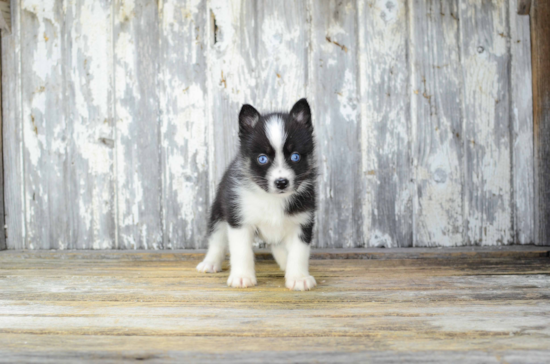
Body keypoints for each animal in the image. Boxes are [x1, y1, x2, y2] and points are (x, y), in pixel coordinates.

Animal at [198, 98, 320, 292]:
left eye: (295, 156)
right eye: (262, 158)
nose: (281, 182)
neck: (272, 198)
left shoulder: (302, 221)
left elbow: (299, 252)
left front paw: (298, 277)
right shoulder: (239, 219)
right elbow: (242, 251)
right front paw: (242, 277)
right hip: (219, 211)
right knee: (217, 239)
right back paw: (210, 263)